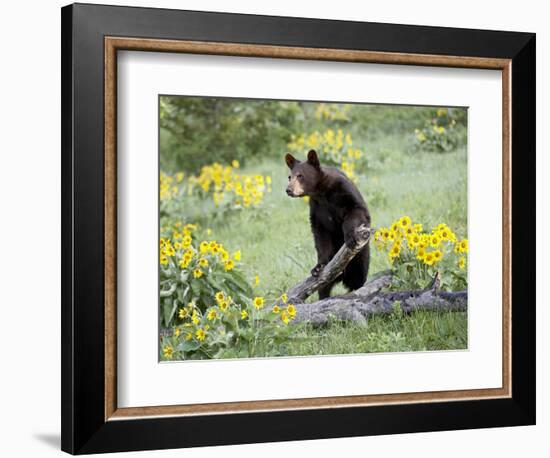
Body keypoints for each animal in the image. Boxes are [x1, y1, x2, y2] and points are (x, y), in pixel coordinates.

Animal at [286, 150, 374, 300]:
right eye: (289, 177)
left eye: (300, 176)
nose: (288, 190)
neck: (321, 192)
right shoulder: (317, 208)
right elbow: (321, 234)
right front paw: (318, 267)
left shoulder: (344, 190)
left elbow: (357, 210)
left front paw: (350, 237)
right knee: (324, 287)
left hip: (361, 257)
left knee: (359, 277)